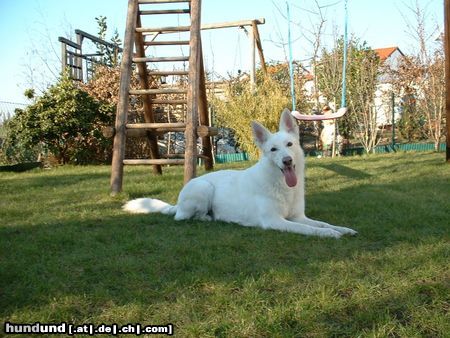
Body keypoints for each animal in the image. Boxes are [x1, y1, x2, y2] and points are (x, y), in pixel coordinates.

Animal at [124, 108, 358, 238]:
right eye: (273, 150)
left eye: (289, 145)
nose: (287, 160)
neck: (281, 185)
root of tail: (177, 202)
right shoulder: (276, 222)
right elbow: (310, 230)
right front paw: (330, 234)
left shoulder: (299, 216)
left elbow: (321, 223)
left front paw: (342, 229)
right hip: (203, 189)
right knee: (183, 217)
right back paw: (210, 218)